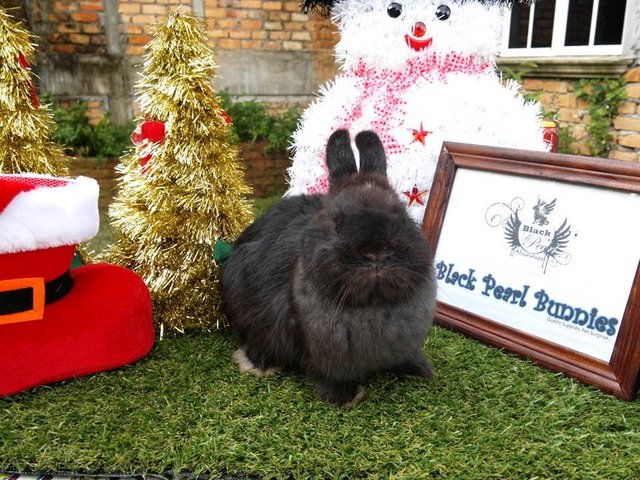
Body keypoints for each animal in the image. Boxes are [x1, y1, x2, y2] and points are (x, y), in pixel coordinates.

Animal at [219, 127, 436, 404]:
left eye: (401, 215)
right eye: (337, 224)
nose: (376, 253)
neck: (372, 304)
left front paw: (420, 370)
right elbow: (327, 373)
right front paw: (345, 398)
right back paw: (258, 364)